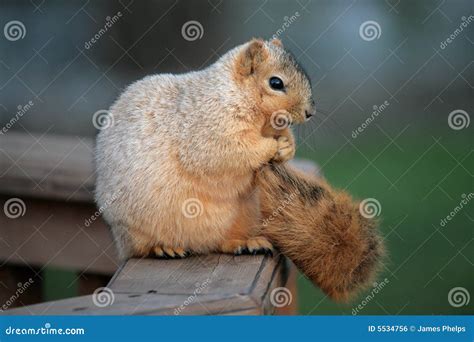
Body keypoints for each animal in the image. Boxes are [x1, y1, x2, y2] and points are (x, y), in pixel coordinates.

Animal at [94, 38, 316, 260]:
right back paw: (162, 248)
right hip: (136, 229)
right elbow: (235, 151)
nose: (310, 112)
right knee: (141, 248)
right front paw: (273, 145)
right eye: (276, 83)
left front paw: (287, 147)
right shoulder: (211, 131)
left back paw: (246, 243)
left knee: (223, 242)